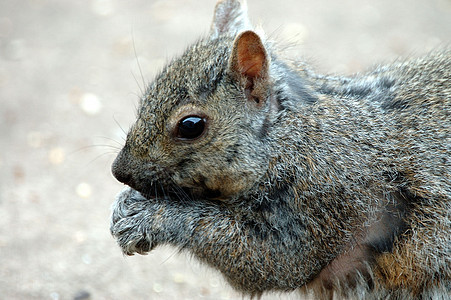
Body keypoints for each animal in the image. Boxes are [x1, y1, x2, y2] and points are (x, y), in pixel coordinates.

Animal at [110, 0, 451, 298]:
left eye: (191, 125)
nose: (119, 171)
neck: (290, 138)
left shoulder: (325, 200)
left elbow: (273, 261)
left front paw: (150, 216)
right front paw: (124, 202)